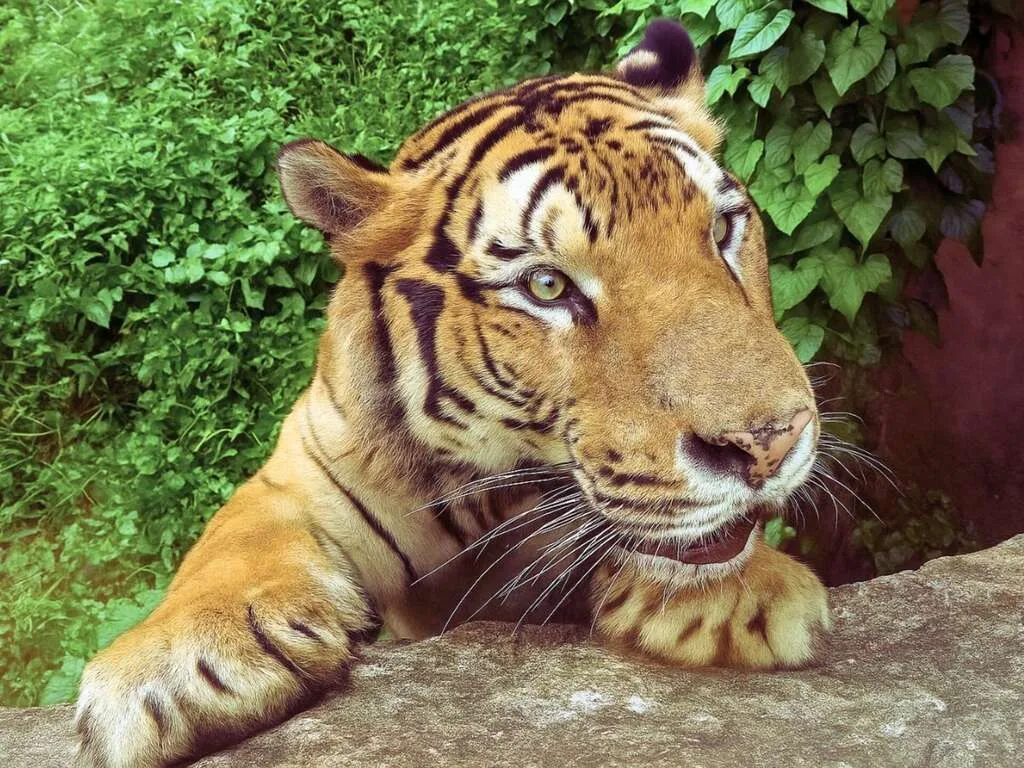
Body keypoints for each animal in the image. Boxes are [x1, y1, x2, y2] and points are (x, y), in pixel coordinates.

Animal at [74, 19, 830, 768]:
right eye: (547, 285)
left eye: (722, 229)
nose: (770, 445)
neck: (474, 484)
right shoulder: (300, 473)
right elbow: (233, 540)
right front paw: (174, 665)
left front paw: (756, 592)